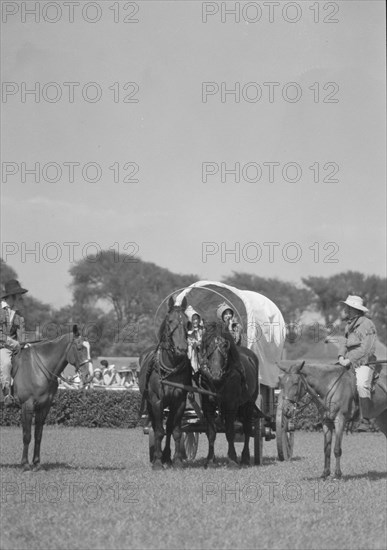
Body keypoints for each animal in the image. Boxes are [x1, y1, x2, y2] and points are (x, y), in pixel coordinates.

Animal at [9, 326, 92, 472]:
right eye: (79, 347)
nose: (88, 375)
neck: (38, 369)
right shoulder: (27, 406)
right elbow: (27, 435)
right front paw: (25, 464)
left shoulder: (44, 407)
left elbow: (38, 435)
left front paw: (36, 463)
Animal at [139, 300, 191, 472]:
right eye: (170, 321)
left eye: (188, 323)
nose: (182, 348)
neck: (171, 366)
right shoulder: (157, 401)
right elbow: (159, 431)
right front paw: (157, 462)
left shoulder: (179, 401)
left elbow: (176, 431)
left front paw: (177, 461)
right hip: (150, 403)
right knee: (157, 427)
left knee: (168, 427)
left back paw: (167, 457)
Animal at [199, 324, 260, 470]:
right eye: (208, 345)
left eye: (225, 345)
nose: (215, 373)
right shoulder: (207, 407)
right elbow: (211, 433)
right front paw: (210, 460)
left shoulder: (231, 406)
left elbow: (230, 432)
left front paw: (232, 459)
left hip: (248, 404)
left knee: (247, 429)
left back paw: (245, 458)